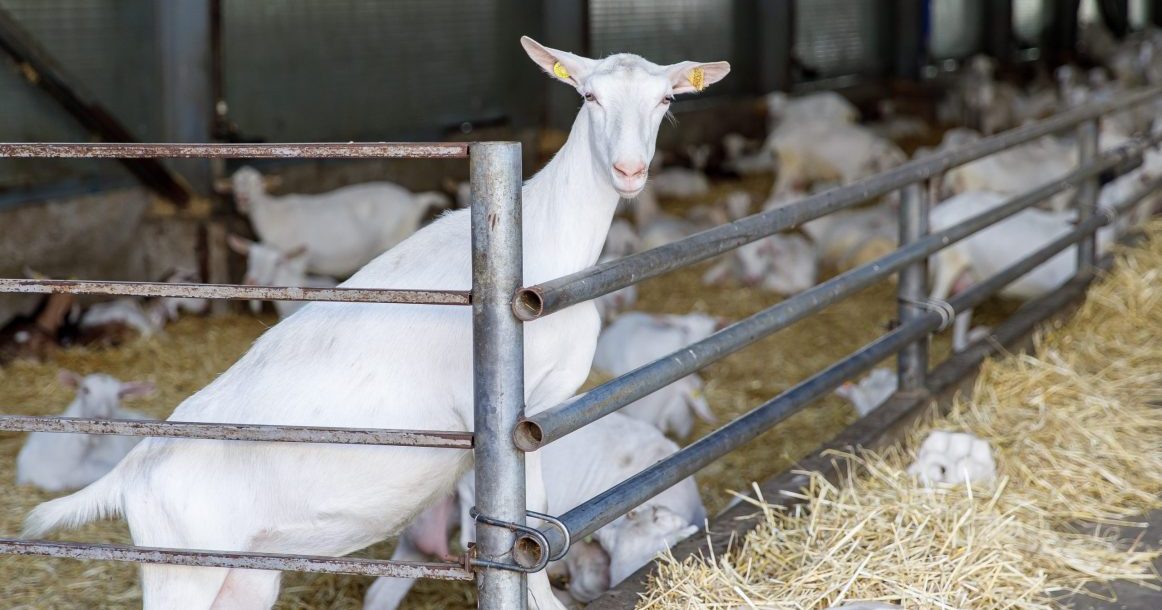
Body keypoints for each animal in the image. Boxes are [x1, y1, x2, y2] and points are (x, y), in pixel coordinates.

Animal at [25, 36, 729, 610]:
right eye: (588, 95)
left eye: (667, 99)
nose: (629, 170)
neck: (545, 241)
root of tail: (130, 471)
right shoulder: (501, 416)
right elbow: (528, 521)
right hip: (180, 567)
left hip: (244, 573)